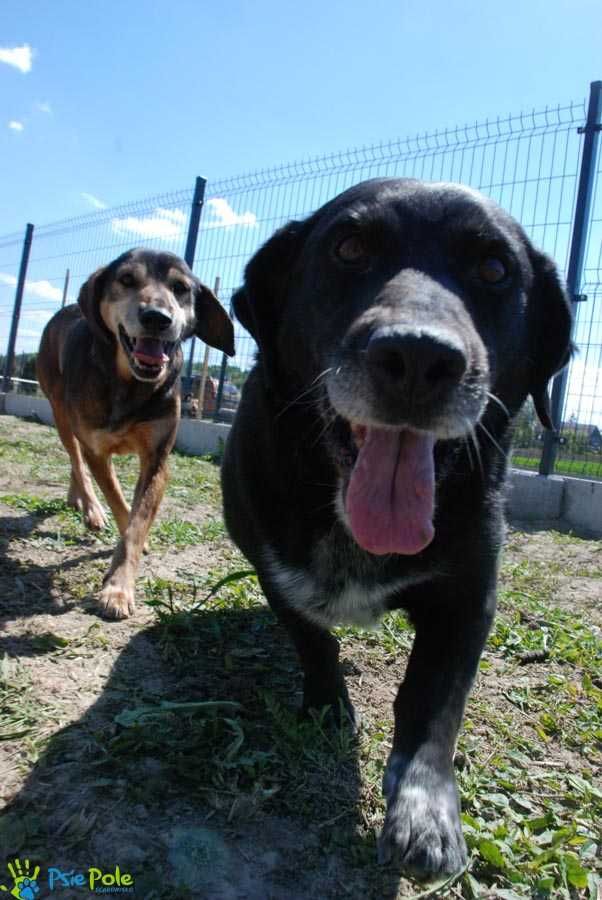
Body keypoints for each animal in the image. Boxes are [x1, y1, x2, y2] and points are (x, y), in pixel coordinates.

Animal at [37, 250, 234, 624]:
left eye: (180, 288)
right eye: (126, 280)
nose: (157, 318)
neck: (130, 383)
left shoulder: (158, 460)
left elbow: (137, 522)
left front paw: (119, 585)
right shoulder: (98, 450)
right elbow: (117, 499)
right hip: (59, 409)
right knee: (75, 458)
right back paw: (90, 508)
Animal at [219, 179, 568, 876]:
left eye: (495, 269)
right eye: (349, 248)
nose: (418, 355)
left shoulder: (468, 599)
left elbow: (433, 703)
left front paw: (424, 810)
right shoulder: (276, 571)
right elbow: (314, 641)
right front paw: (328, 706)